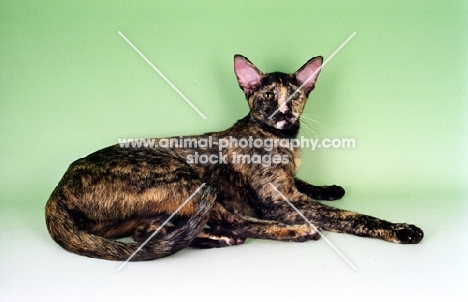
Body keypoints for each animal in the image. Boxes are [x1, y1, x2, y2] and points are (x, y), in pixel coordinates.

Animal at [44, 53, 424, 260]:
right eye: (268, 96)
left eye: (296, 96)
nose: (284, 113)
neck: (283, 140)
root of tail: (57, 188)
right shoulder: (279, 201)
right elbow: (352, 217)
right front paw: (400, 228)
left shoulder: (290, 185)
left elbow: (305, 181)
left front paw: (329, 187)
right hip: (186, 179)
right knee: (235, 221)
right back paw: (296, 232)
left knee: (149, 234)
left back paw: (215, 239)